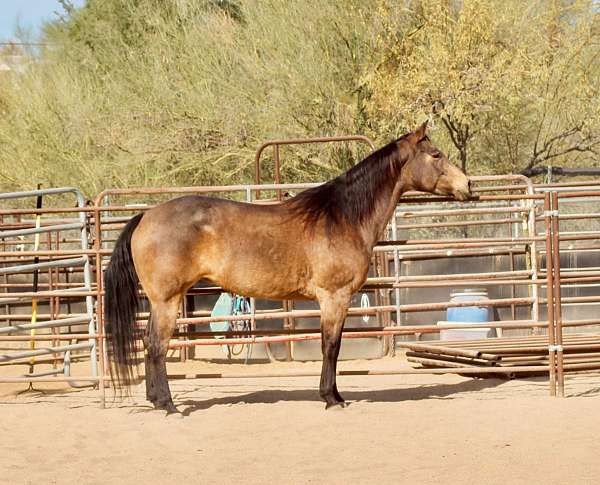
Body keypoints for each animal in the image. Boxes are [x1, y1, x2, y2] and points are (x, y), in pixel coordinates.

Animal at [105, 121, 472, 412]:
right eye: (436, 154)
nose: (468, 185)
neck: (342, 217)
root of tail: (146, 216)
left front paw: (333, 395)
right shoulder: (334, 297)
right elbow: (331, 347)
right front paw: (332, 398)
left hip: (162, 301)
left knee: (149, 343)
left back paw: (156, 400)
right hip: (167, 300)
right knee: (157, 345)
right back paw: (169, 405)